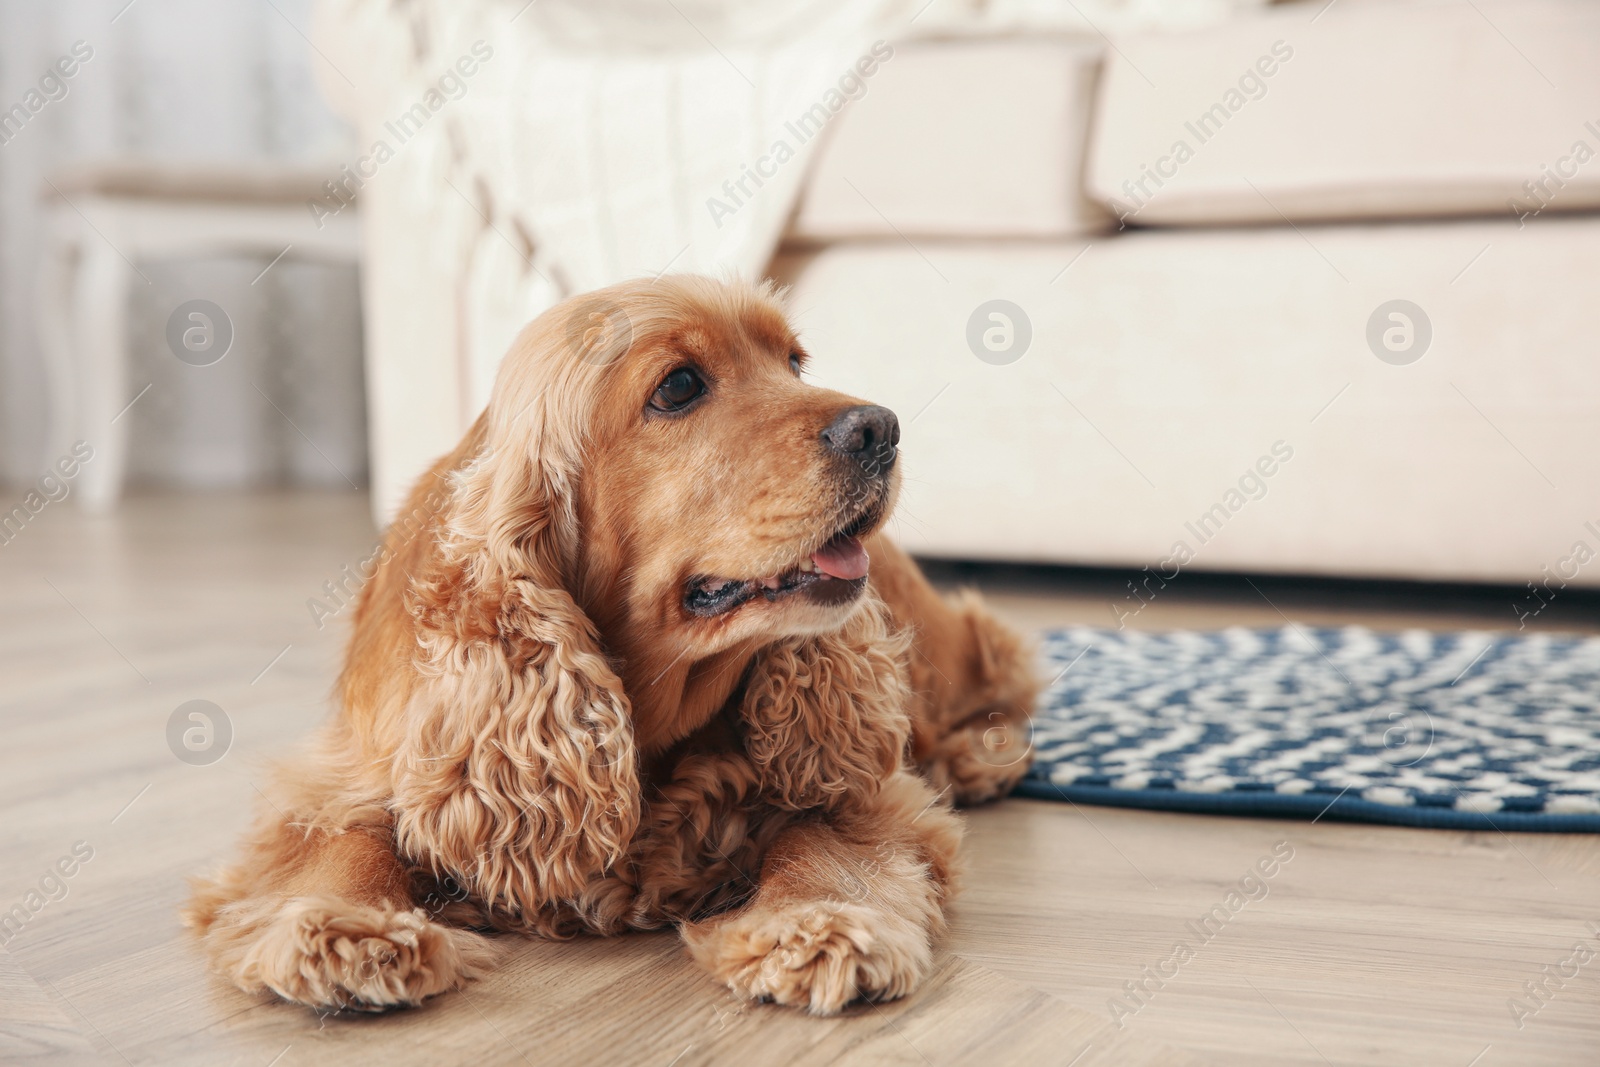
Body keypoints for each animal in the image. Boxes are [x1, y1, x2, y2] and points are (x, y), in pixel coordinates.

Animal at [184, 275, 1036, 1017]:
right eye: (679, 387)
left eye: (793, 362)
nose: (880, 427)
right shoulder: (348, 767)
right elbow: (340, 840)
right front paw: (341, 925)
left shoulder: (862, 790)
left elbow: (820, 827)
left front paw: (820, 920)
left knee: (995, 659)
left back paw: (979, 752)